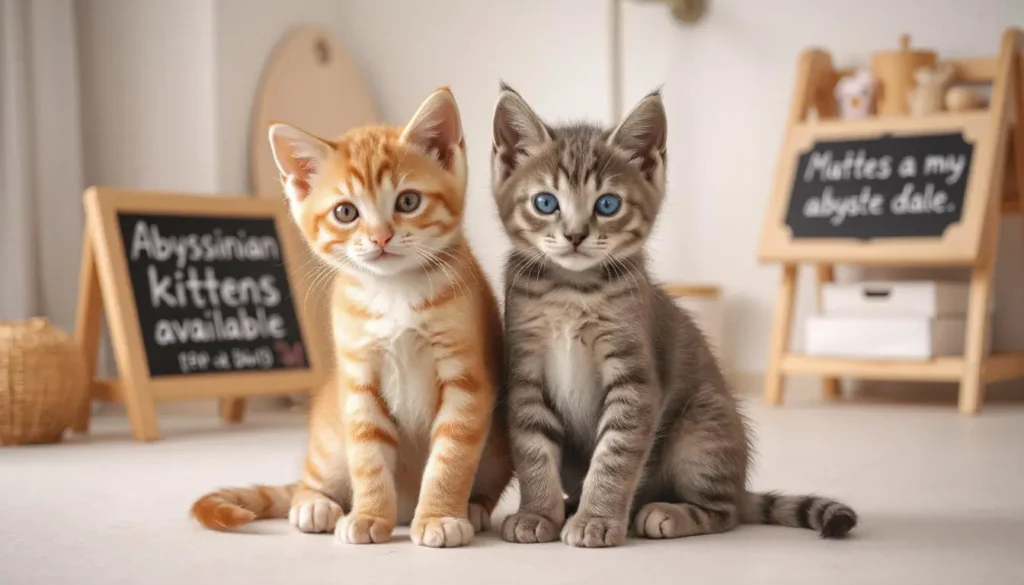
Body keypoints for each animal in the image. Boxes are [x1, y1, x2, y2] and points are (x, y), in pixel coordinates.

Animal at [191, 88, 512, 549]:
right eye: (346, 212)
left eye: (408, 201)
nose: (380, 237)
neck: (395, 293)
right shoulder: (359, 381)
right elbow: (367, 457)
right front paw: (368, 514)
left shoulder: (467, 379)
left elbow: (450, 456)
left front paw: (439, 515)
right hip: (329, 437)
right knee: (308, 481)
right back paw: (315, 503)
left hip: (499, 445)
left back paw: (471, 507)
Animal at [491, 84, 860, 553]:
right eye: (545, 202)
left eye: (607, 204)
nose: (575, 235)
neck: (571, 291)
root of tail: (740, 484)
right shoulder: (524, 373)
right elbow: (532, 449)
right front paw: (537, 512)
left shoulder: (636, 381)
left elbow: (616, 455)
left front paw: (596, 518)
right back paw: (575, 505)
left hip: (701, 428)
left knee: (726, 512)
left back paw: (666, 512)